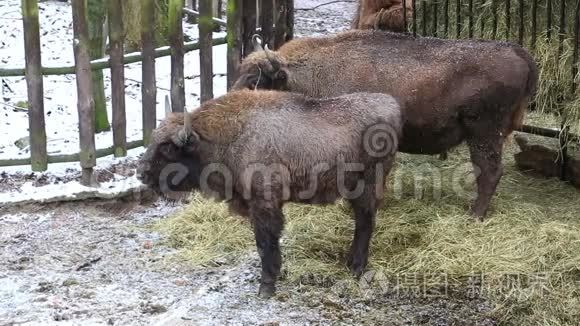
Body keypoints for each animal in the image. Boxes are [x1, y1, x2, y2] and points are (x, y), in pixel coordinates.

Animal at [137, 89, 404, 298]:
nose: (141, 173)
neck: (234, 134)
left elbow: (265, 243)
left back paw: (356, 268)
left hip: (367, 187)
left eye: (168, 148)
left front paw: (266, 287)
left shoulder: (264, 204)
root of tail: (392, 105)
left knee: (365, 222)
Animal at [231, 29, 540, 219]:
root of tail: (519, 53)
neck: (309, 76)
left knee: (489, 171)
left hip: (484, 133)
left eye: (255, 81)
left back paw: (474, 215)